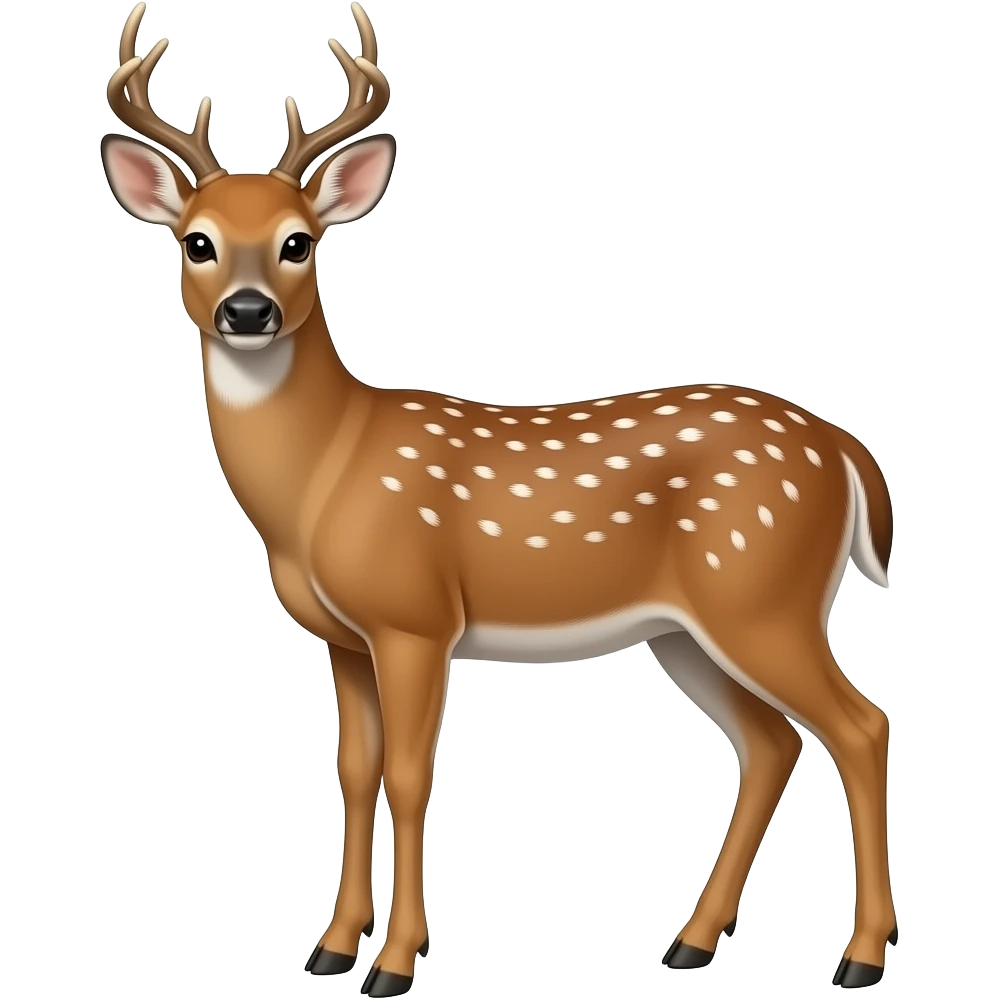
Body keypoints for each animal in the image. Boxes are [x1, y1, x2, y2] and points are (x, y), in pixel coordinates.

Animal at [100, 4, 897, 993]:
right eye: (196, 240)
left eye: (299, 240)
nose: (247, 313)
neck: (324, 475)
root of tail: (845, 450)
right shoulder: (345, 637)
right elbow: (353, 772)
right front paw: (330, 947)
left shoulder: (415, 618)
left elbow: (409, 776)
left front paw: (395, 962)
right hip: (690, 629)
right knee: (772, 743)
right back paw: (690, 942)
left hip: (763, 593)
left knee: (860, 726)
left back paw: (859, 957)